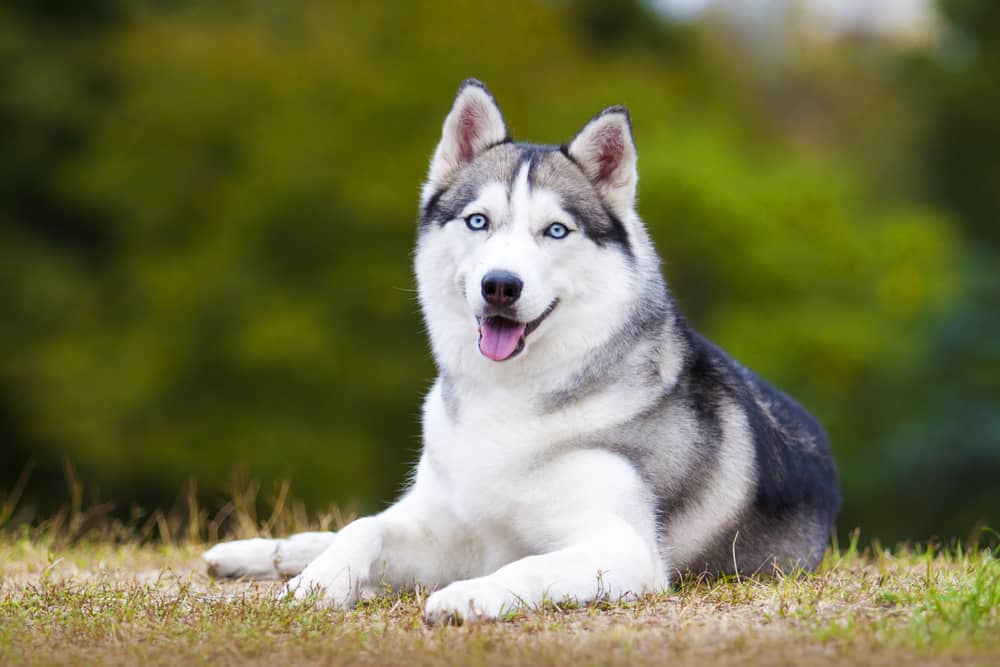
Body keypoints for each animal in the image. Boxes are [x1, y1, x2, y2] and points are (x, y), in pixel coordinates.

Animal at [205, 81, 844, 624]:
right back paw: (261, 553)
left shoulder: (623, 547)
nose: (500, 286)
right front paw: (315, 585)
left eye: (555, 231)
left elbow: (529, 565)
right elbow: (364, 528)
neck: (508, 400)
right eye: (478, 221)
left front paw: (466, 596)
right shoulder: (452, 529)